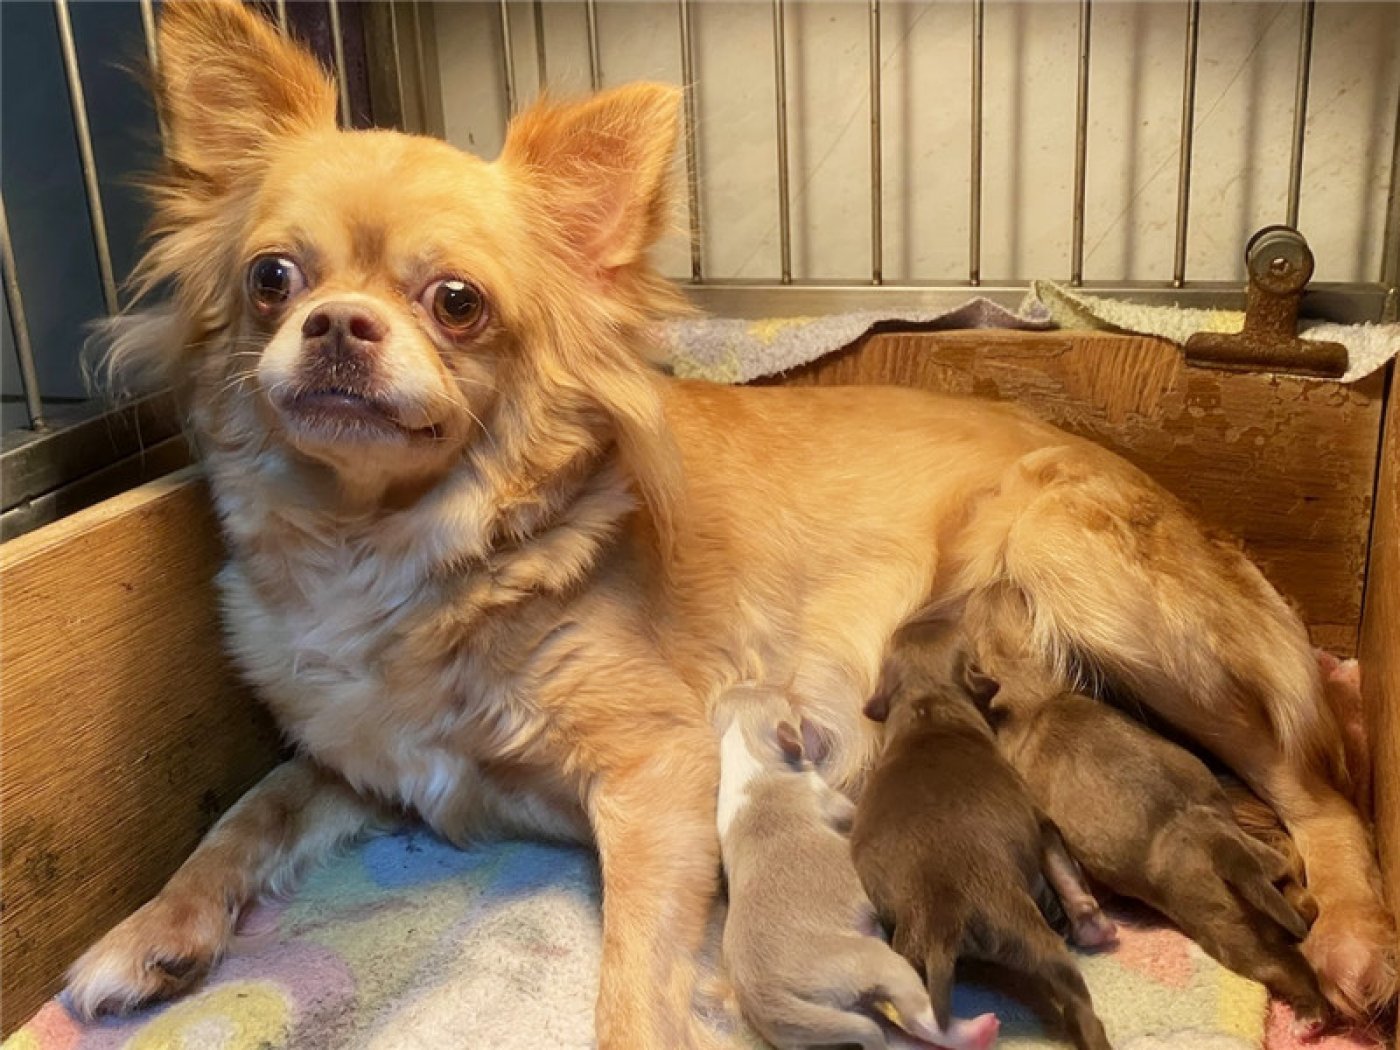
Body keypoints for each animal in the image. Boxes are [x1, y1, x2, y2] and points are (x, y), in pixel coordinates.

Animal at [716, 686, 1000, 1050]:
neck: (746, 756)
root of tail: (768, 1001)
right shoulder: (831, 800)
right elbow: (849, 809)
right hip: (875, 961)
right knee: (920, 1017)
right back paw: (978, 1030)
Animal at [851, 647, 1113, 1050]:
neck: (928, 710)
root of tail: (940, 921)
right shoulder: (1041, 822)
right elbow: (1065, 870)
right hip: (1034, 941)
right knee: (1079, 1008)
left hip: (906, 959)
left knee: (913, 1011)